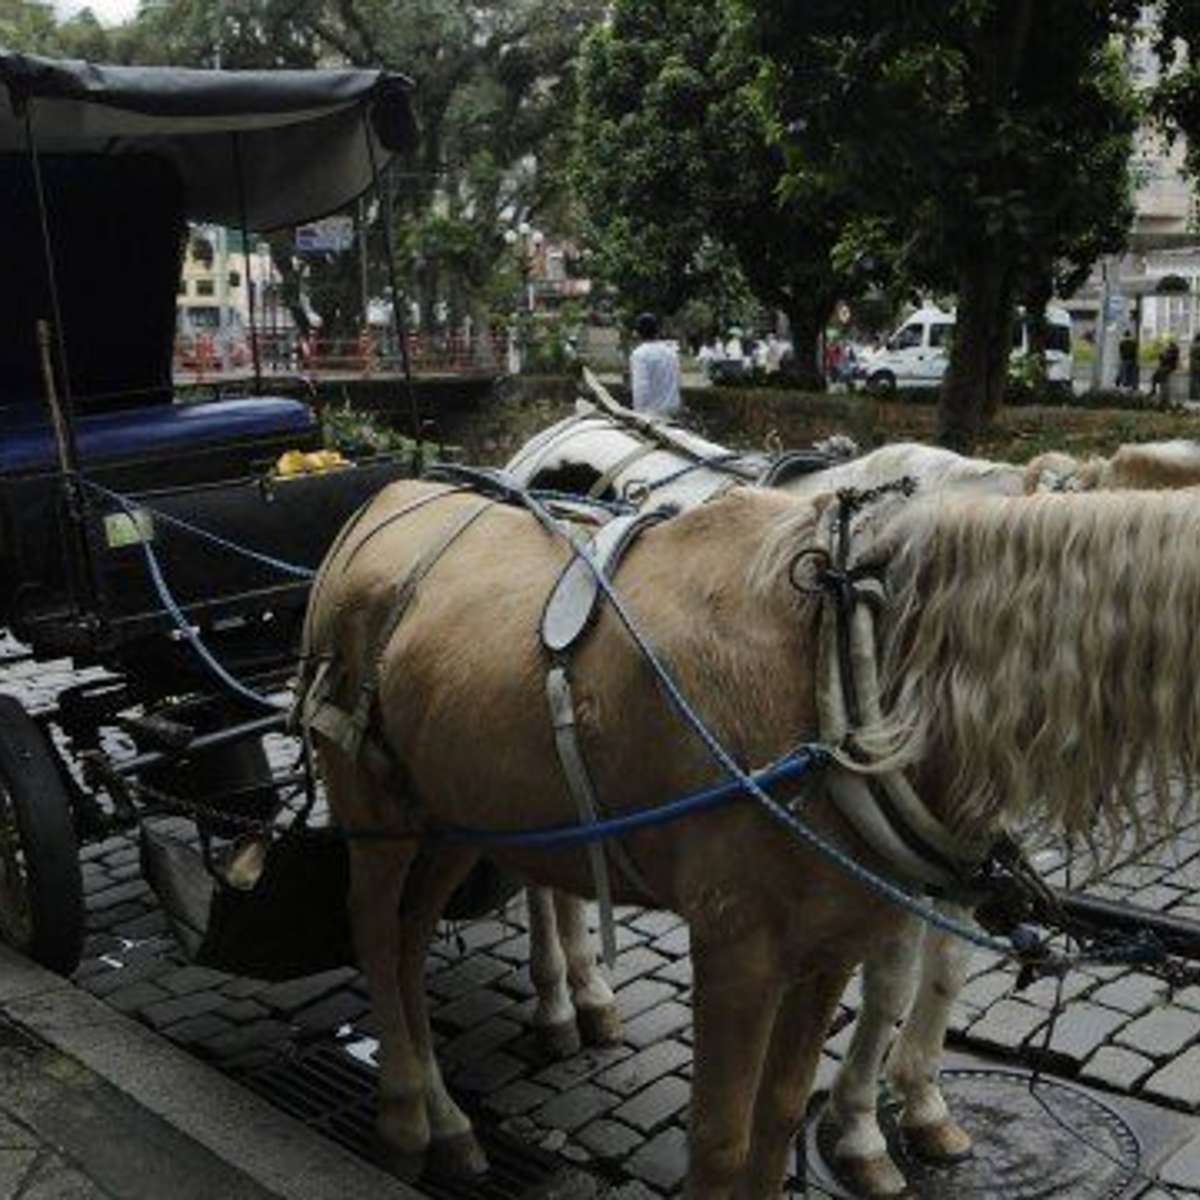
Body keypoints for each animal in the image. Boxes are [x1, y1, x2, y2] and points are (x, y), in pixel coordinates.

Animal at [297, 477, 1200, 1200]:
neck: (842, 667)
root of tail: (378, 505)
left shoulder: (832, 944)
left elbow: (778, 1115)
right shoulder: (736, 948)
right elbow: (720, 1139)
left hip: (456, 816)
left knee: (410, 940)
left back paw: (450, 1122)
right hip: (377, 812)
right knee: (375, 931)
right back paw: (408, 1117)